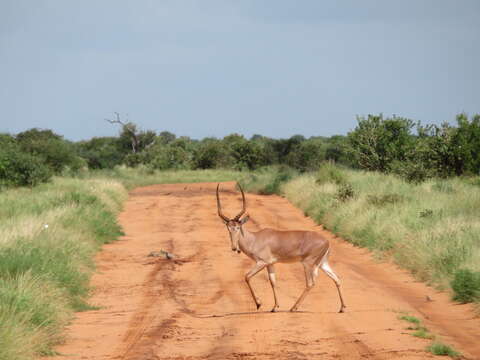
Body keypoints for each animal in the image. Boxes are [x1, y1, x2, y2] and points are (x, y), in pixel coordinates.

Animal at [217, 183, 344, 312]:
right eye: (228, 228)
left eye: (238, 227)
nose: (234, 248)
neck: (255, 239)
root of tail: (327, 241)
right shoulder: (270, 264)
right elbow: (273, 282)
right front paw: (274, 307)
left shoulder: (262, 262)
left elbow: (247, 277)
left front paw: (259, 304)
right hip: (323, 263)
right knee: (337, 278)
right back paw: (342, 308)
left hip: (308, 264)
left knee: (310, 284)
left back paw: (293, 308)